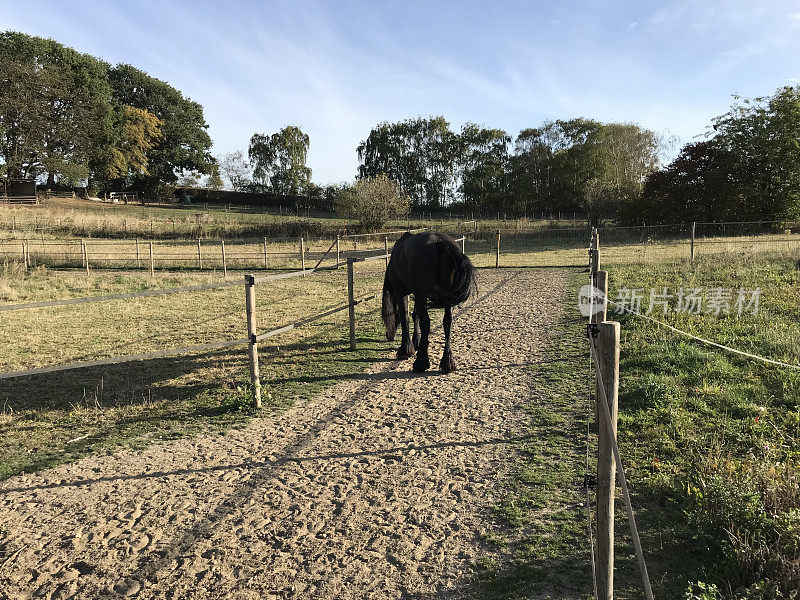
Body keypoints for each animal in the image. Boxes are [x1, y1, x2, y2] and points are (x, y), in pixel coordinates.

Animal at [382, 232, 476, 372]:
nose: (389, 335)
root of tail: (440, 242)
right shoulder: (418, 295)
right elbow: (415, 315)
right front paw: (416, 342)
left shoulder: (401, 293)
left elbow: (405, 318)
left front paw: (406, 350)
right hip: (446, 298)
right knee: (448, 322)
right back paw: (448, 363)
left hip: (422, 294)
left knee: (426, 322)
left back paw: (421, 363)